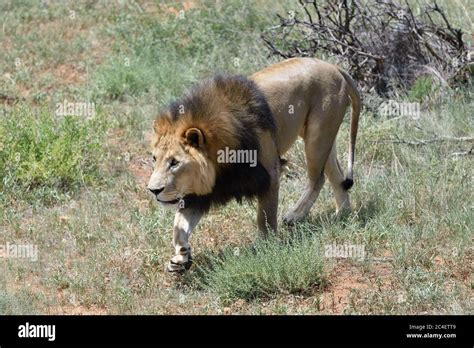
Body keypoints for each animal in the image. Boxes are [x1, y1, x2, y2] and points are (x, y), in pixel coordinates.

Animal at [148, 57, 360, 272]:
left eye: (174, 163)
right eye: (154, 159)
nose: (153, 190)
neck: (219, 162)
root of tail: (334, 66)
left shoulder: (270, 173)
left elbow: (265, 215)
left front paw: (267, 246)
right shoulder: (203, 191)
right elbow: (179, 225)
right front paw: (180, 258)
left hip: (317, 136)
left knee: (318, 179)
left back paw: (295, 215)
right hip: (323, 137)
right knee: (337, 176)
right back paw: (341, 215)